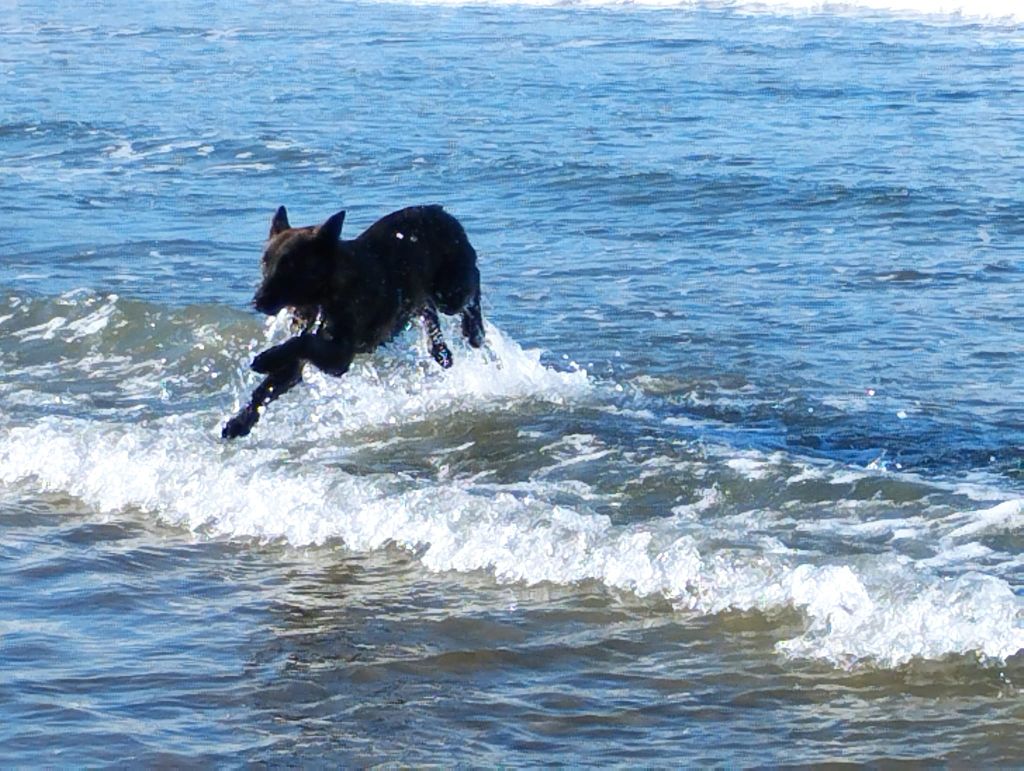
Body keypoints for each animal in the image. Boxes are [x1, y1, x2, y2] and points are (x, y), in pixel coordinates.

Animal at [222, 202, 485, 438]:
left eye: (290, 265)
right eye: (265, 262)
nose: (257, 301)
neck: (325, 292)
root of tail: (440, 211)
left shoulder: (339, 357)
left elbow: (302, 342)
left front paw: (266, 358)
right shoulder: (296, 365)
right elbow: (267, 387)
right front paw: (241, 421)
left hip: (450, 294)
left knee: (471, 289)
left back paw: (474, 330)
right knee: (427, 307)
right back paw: (439, 349)